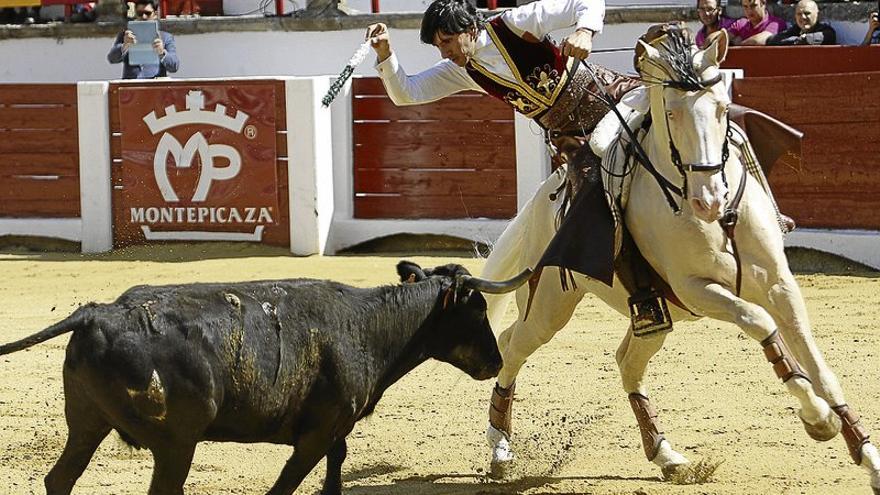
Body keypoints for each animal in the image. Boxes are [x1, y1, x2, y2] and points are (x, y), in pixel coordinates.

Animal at [0, 262, 528, 495]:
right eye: (476, 308)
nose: (494, 360)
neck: (366, 325)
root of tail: (98, 314)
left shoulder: (334, 428)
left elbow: (337, 464)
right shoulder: (316, 432)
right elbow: (289, 482)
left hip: (87, 424)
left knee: (60, 479)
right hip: (176, 442)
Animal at [482, 26, 880, 492]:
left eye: (723, 109)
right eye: (670, 113)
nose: (709, 200)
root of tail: (546, 194)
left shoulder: (779, 282)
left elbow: (819, 365)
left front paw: (867, 457)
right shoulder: (697, 289)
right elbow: (760, 322)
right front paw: (817, 419)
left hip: (651, 316)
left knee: (626, 362)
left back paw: (667, 456)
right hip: (550, 304)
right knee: (512, 345)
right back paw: (500, 448)